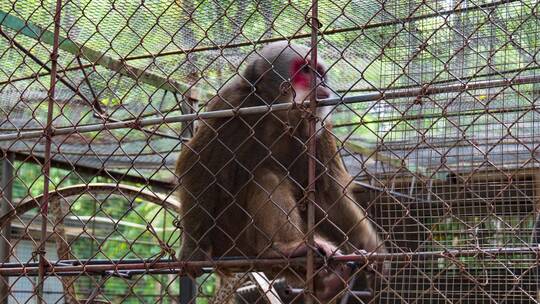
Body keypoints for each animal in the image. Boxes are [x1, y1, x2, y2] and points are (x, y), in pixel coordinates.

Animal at [175, 41, 386, 302]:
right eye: (306, 70)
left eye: (320, 72)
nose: (322, 83)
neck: (279, 114)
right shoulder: (232, 103)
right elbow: (198, 167)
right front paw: (193, 249)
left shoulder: (320, 123)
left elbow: (328, 194)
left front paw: (371, 248)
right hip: (229, 241)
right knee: (266, 176)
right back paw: (290, 249)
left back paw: (325, 283)